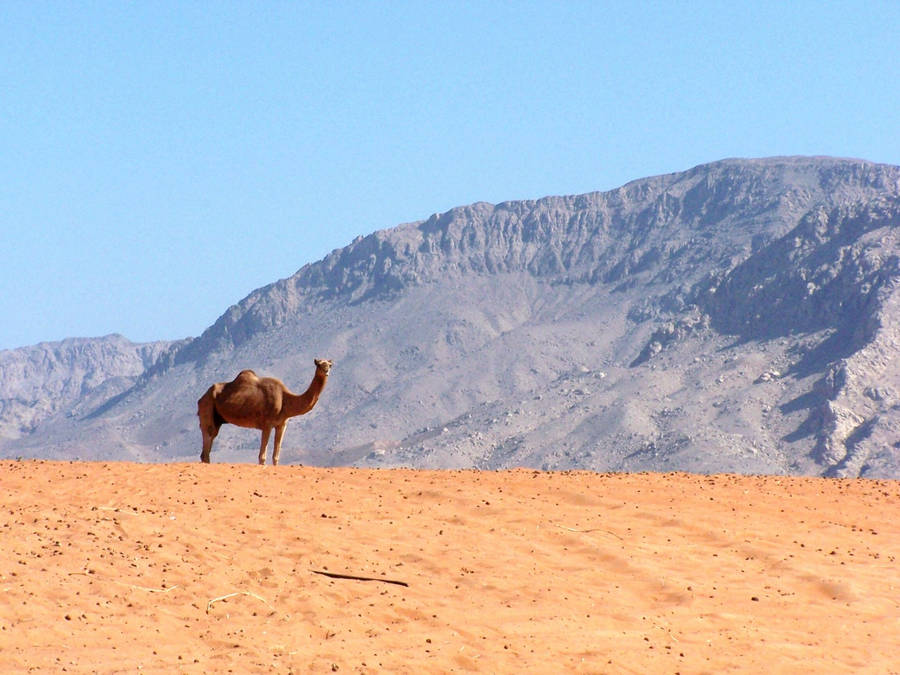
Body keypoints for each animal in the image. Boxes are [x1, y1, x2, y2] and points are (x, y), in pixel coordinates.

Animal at [197, 358, 332, 465]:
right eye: (319, 364)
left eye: (330, 365)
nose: (326, 371)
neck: (285, 398)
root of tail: (201, 398)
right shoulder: (267, 424)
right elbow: (262, 457)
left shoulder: (282, 424)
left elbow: (276, 457)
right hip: (207, 407)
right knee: (208, 437)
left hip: (218, 419)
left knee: (209, 442)